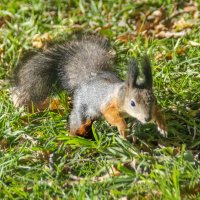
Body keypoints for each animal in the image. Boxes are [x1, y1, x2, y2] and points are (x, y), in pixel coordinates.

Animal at [11, 36, 167, 138]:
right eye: (132, 103)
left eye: (154, 100)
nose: (147, 118)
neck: (121, 94)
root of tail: (89, 77)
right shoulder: (109, 104)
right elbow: (111, 115)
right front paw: (122, 128)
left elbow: (157, 111)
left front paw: (162, 124)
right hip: (82, 107)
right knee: (76, 119)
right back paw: (73, 136)